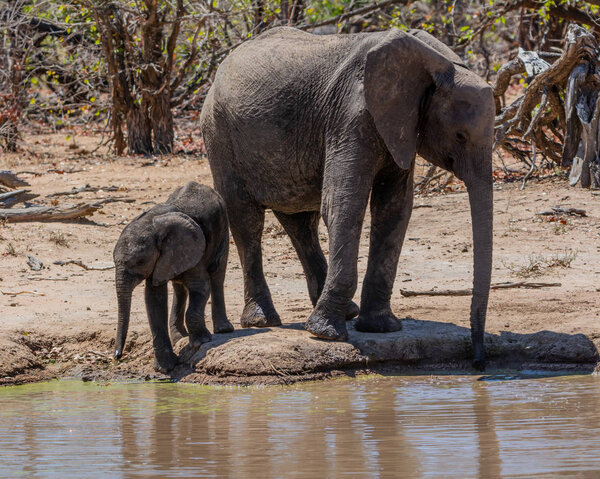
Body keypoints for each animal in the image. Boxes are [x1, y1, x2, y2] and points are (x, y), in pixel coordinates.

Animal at [113, 182, 233, 374]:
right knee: (179, 287)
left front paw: (200, 343)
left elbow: (201, 286)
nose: (117, 356)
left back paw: (223, 330)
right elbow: (154, 299)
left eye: (140, 261)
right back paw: (179, 337)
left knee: (217, 274)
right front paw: (166, 368)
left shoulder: (191, 248)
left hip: (223, 228)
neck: (150, 224)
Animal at [200, 27, 492, 368]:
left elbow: (394, 209)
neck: (437, 65)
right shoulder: (351, 115)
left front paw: (381, 328)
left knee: (300, 222)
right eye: (460, 135)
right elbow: (344, 202)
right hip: (220, 136)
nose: (478, 361)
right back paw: (262, 320)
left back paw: (346, 311)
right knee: (246, 220)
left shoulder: (397, 126)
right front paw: (326, 334)